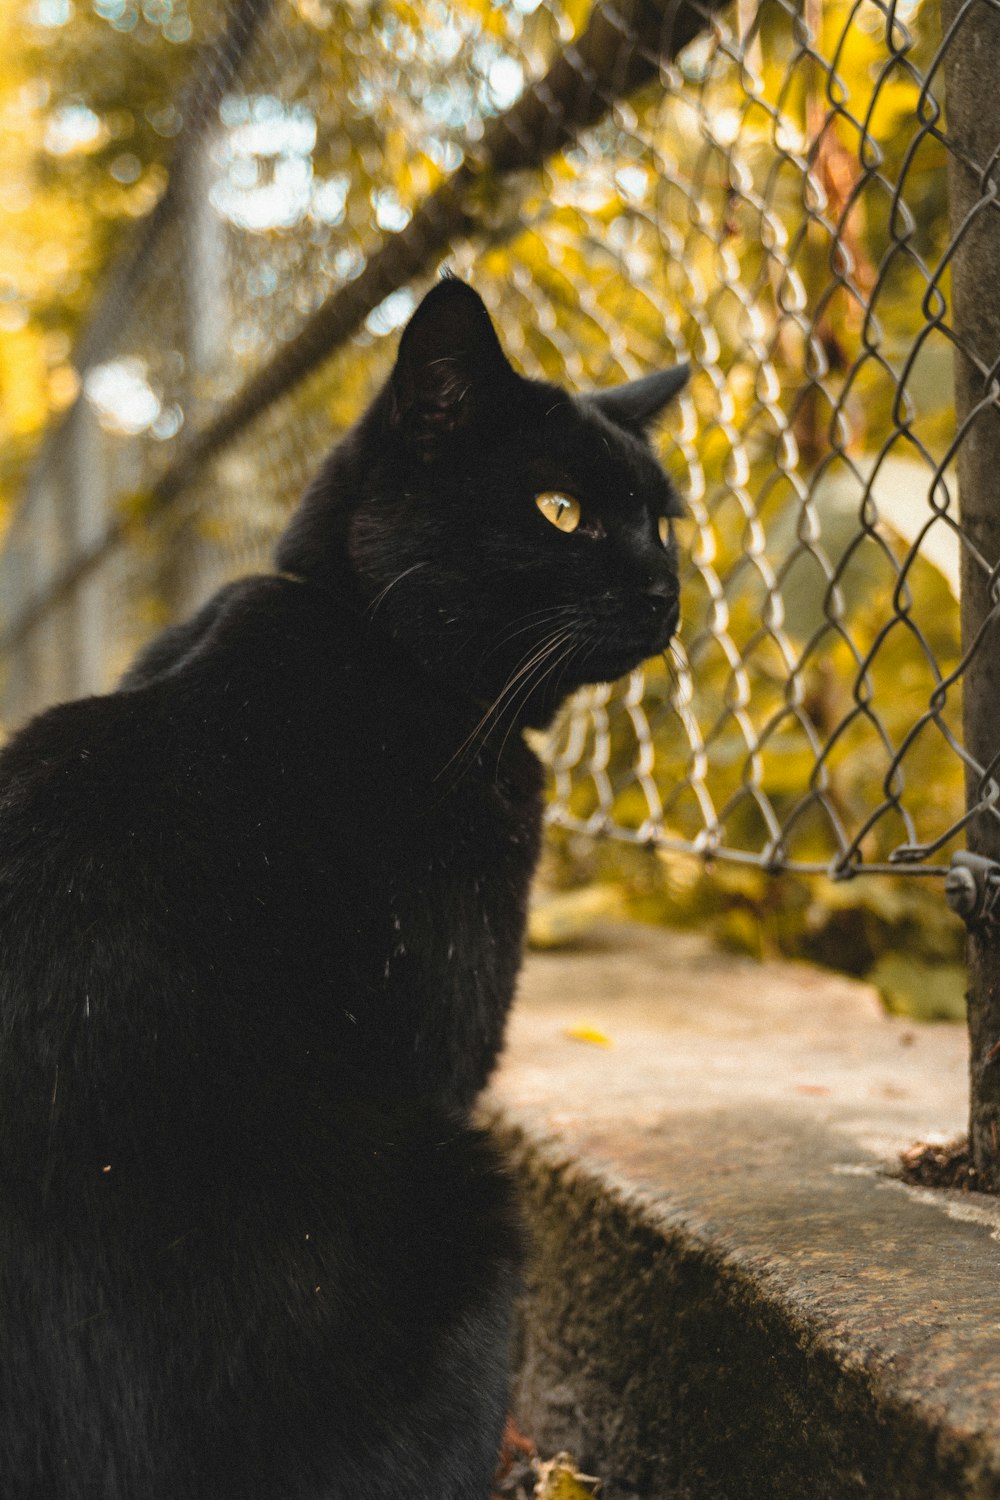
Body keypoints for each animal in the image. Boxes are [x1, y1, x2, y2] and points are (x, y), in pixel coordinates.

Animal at [0, 276, 689, 1494]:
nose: (666, 588)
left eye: (662, 520)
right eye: (561, 510)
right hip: (470, 1207)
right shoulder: (448, 1036)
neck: (375, 643)